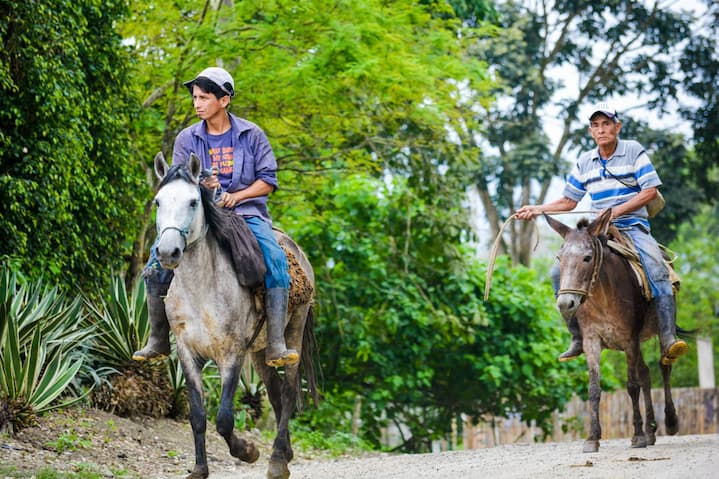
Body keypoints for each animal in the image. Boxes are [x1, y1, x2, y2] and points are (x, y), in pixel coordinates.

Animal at [153, 154, 318, 479]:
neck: (201, 290)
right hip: (261, 351)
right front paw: (199, 469)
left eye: (193, 201)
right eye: (157, 202)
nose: (167, 252)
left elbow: (224, 418)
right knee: (275, 392)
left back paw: (277, 461)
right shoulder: (187, 353)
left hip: (292, 332)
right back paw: (285, 452)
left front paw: (248, 451)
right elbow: (198, 416)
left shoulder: (232, 353)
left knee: (288, 391)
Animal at [544, 211, 680, 454]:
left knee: (664, 367)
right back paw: (651, 430)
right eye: (560, 258)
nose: (566, 304)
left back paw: (670, 422)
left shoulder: (629, 339)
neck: (603, 295)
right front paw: (592, 438)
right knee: (646, 373)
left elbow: (632, 386)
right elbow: (594, 389)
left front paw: (637, 436)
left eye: (587, 257)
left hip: (659, 329)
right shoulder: (591, 340)